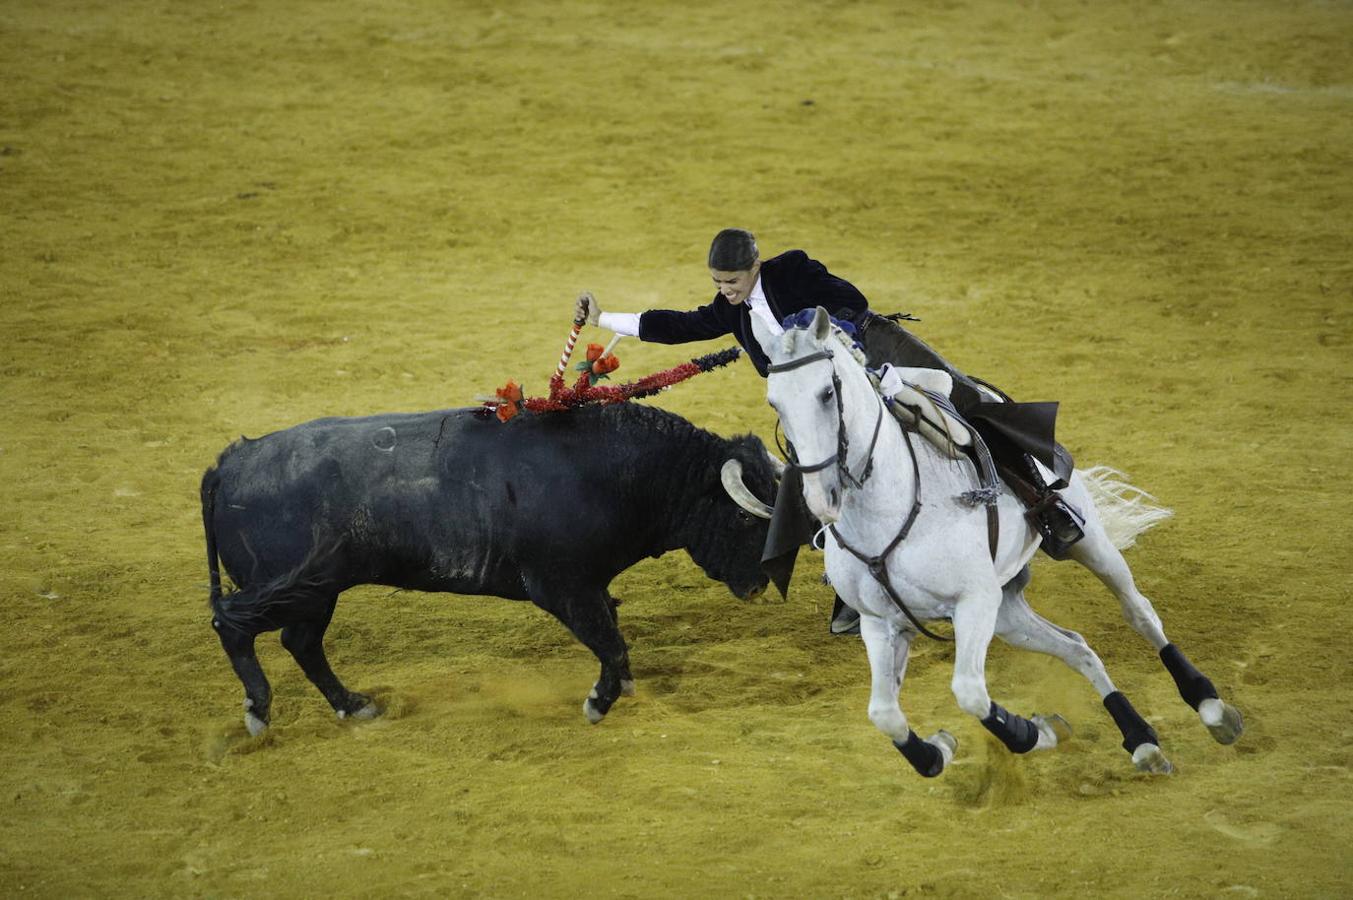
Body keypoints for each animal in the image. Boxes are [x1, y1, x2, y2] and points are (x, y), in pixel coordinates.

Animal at [196, 400, 779, 730]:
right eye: (746, 518)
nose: (759, 587)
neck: (618, 471)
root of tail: (230, 462)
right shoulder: (563, 586)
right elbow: (612, 643)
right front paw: (599, 702)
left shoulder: (590, 587)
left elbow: (613, 637)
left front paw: (621, 688)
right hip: (297, 586)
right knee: (235, 625)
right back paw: (258, 711)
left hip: (315, 594)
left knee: (300, 643)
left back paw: (354, 706)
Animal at [757, 307, 1239, 774]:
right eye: (774, 402)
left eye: (827, 393)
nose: (821, 499)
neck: (890, 511)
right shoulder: (882, 623)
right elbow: (885, 714)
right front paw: (947, 748)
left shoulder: (974, 601)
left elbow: (970, 692)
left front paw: (1031, 732)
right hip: (1007, 611)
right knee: (1077, 647)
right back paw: (1141, 741)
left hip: (1085, 545)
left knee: (1138, 612)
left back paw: (1211, 708)